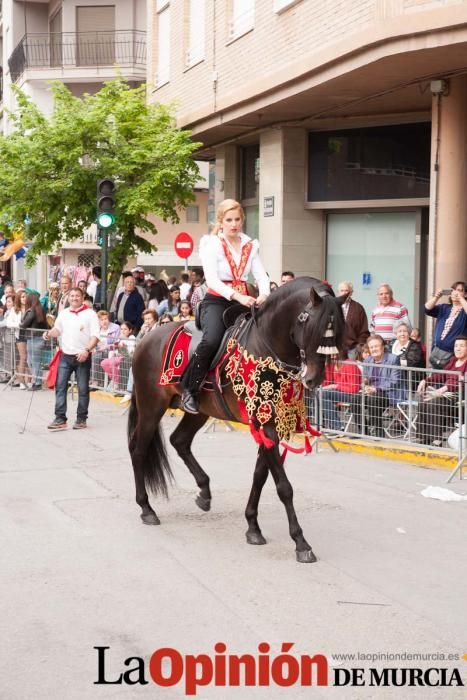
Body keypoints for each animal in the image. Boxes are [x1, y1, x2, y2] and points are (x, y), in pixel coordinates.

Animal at [127, 278, 344, 564]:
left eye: (337, 327)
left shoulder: (268, 424)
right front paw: (301, 542)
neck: (266, 348)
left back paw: (204, 492)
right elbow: (283, 486)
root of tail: (146, 338)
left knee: (179, 440)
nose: (314, 378)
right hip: (151, 406)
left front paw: (253, 527)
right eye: (309, 322)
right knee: (139, 449)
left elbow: (260, 476)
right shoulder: (265, 425)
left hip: (200, 411)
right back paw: (146, 508)